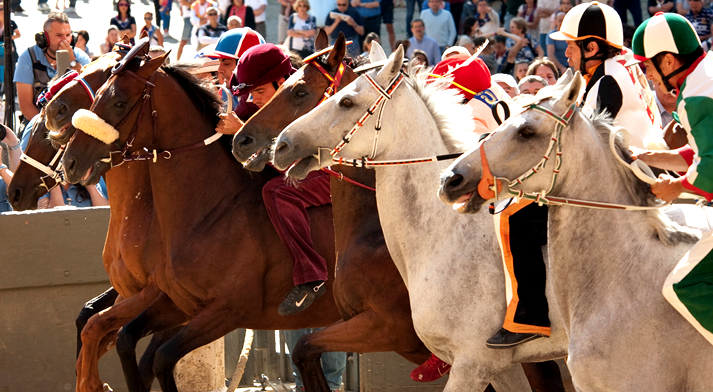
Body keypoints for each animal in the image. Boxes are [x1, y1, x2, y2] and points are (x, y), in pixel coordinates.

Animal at [60, 52, 340, 392]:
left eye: (118, 101)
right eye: (97, 96)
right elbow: (107, 329)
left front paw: (93, 381)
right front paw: (90, 379)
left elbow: (146, 351)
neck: (211, 211)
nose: (70, 161)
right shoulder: (176, 302)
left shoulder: (228, 308)